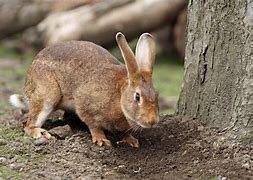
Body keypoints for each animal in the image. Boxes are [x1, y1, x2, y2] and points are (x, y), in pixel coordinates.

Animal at [10, 32, 160, 148]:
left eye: (156, 95)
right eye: (137, 97)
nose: (152, 121)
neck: (119, 96)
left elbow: (123, 132)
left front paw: (131, 140)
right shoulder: (86, 106)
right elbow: (93, 125)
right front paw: (101, 140)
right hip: (47, 95)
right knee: (29, 124)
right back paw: (40, 132)